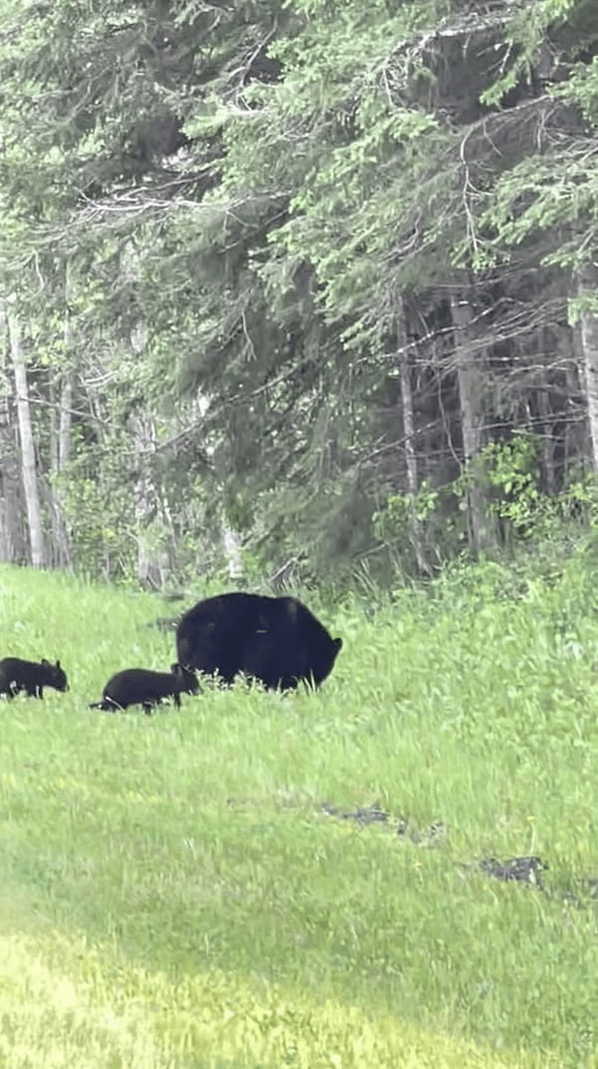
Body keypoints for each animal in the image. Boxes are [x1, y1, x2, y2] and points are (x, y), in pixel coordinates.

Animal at [175, 594, 344, 692]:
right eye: (326, 666)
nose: (315, 688)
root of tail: (183, 626)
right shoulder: (274, 645)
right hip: (212, 645)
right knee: (214, 673)